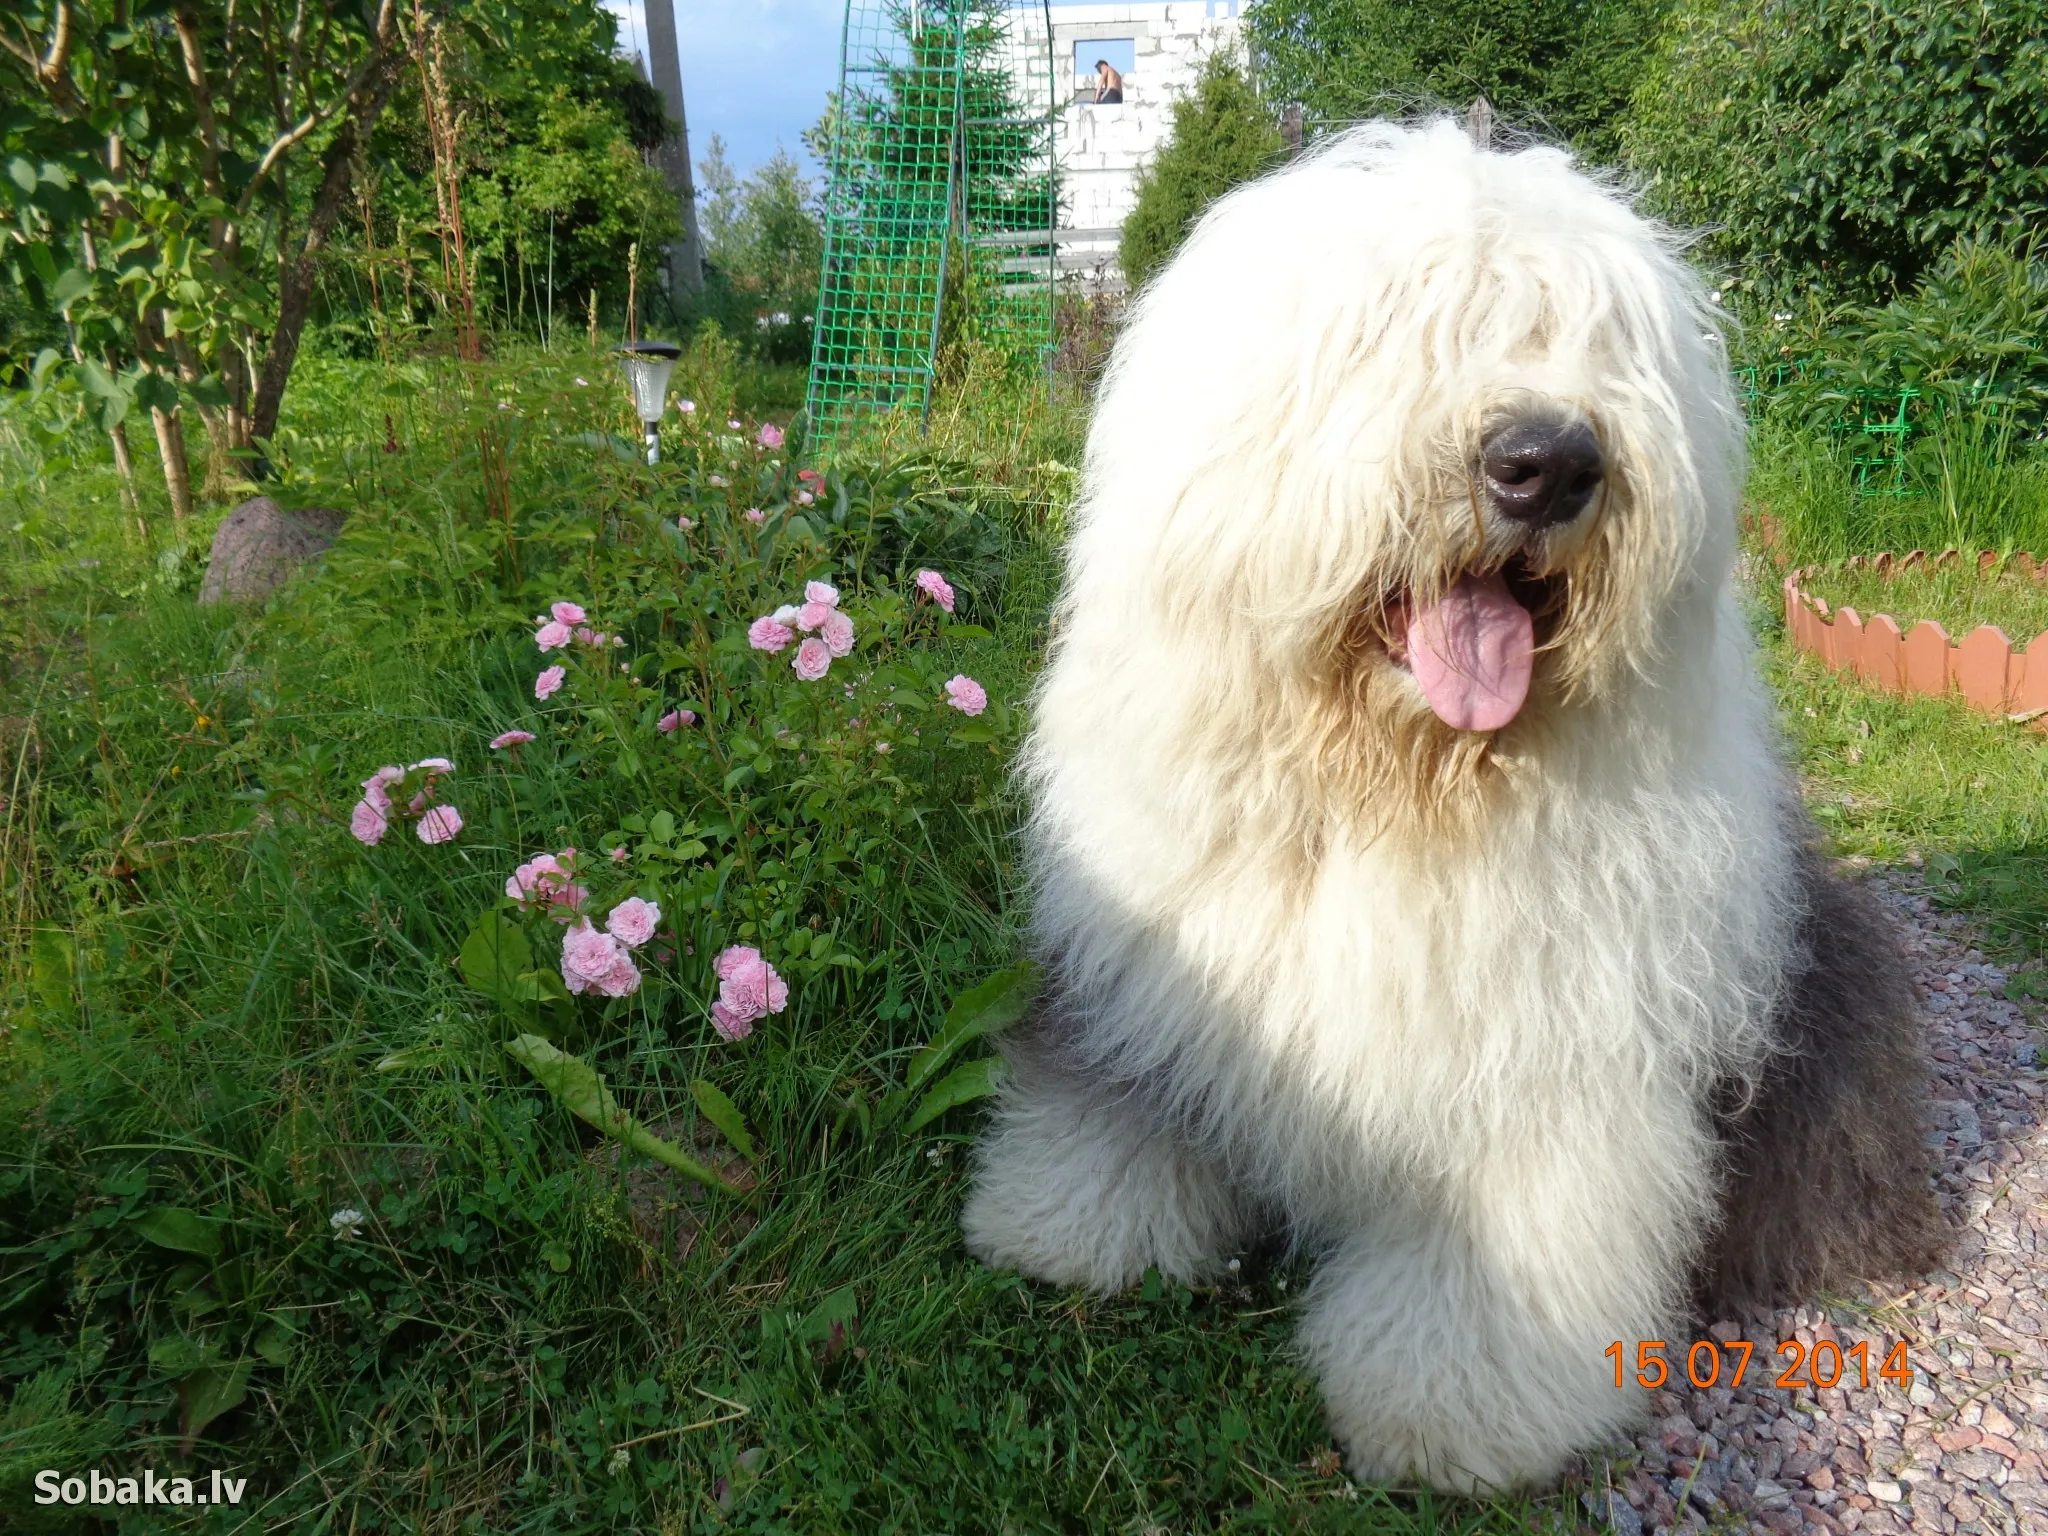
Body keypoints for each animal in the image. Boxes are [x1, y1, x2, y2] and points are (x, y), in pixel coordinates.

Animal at [958, 120, 1933, 1490]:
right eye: (1398, 330)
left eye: (1599, 340)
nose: (1548, 461)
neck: (1394, 785)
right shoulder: (1137, 973)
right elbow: (1117, 1110)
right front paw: (1073, 1228)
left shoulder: (1554, 1058)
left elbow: (1508, 1240)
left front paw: (1454, 1407)